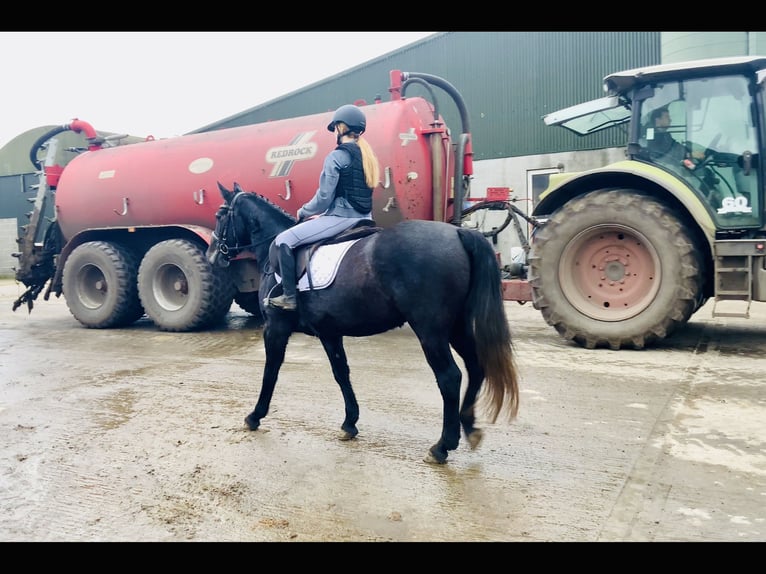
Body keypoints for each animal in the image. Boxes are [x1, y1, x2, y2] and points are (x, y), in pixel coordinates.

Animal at [208, 182, 520, 466]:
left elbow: (270, 373)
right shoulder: (329, 333)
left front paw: (255, 415)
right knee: (475, 366)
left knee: (449, 377)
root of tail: (457, 232)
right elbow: (341, 373)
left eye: (221, 214)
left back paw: (442, 445)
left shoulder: (276, 328)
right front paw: (350, 422)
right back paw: (469, 427)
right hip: (456, 327)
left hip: (430, 331)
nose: (212, 256)